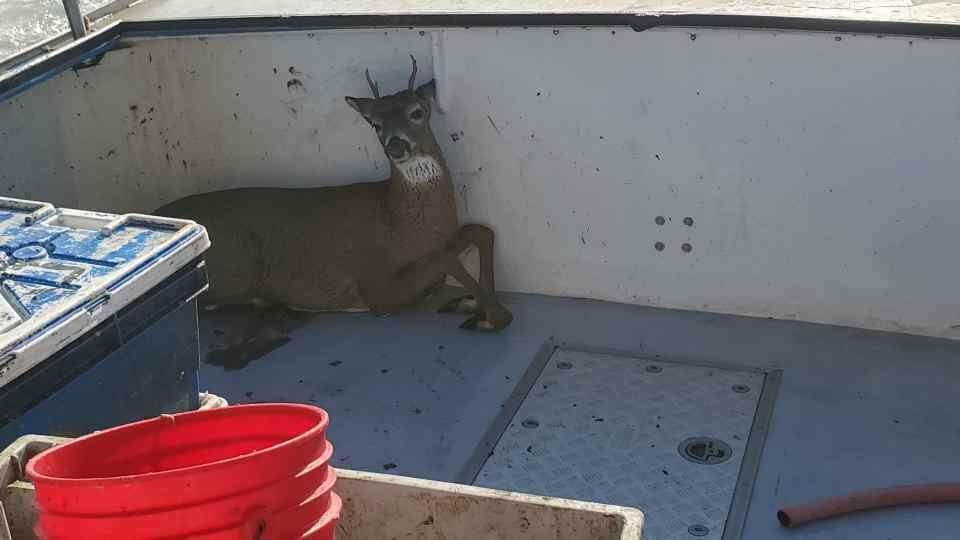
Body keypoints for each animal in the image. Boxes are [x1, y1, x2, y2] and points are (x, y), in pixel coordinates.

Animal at [157, 56, 513, 342]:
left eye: (417, 112)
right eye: (375, 123)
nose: (395, 145)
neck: (398, 221)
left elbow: (480, 231)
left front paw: (471, 303)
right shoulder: (377, 288)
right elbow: (447, 258)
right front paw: (492, 316)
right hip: (236, 265)